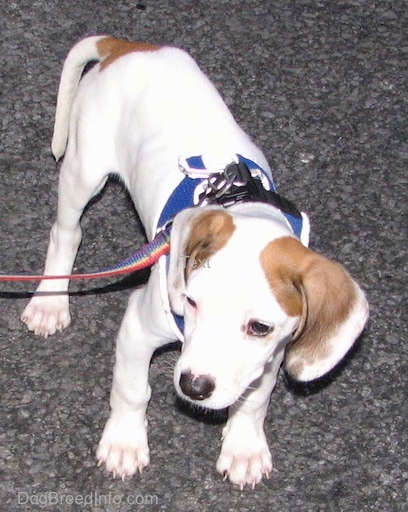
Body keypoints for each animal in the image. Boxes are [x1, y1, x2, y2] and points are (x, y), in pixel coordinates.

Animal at [20, 37, 368, 488]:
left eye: (260, 327)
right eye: (191, 303)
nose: (193, 386)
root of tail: (128, 46)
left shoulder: (272, 354)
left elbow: (254, 400)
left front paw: (244, 447)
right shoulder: (136, 329)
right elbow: (132, 390)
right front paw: (124, 443)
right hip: (83, 170)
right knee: (66, 233)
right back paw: (49, 302)